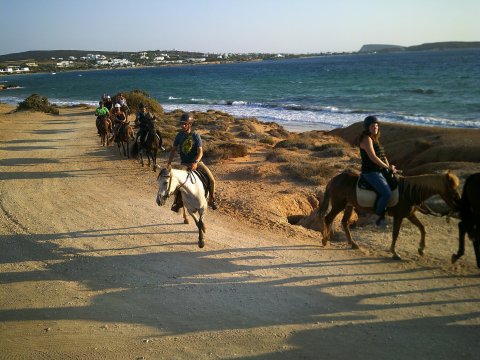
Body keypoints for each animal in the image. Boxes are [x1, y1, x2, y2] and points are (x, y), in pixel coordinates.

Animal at [318, 171, 462, 258]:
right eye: (453, 190)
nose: (458, 205)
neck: (409, 192)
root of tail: (335, 179)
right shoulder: (399, 216)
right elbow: (395, 234)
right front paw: (394, 253)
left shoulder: (409, 215)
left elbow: (422, 228)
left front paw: (421, 249)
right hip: (339, 205)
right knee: (328, 218)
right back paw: (325, 240)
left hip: (349, 206)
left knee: (344, 223)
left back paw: (353, 244)